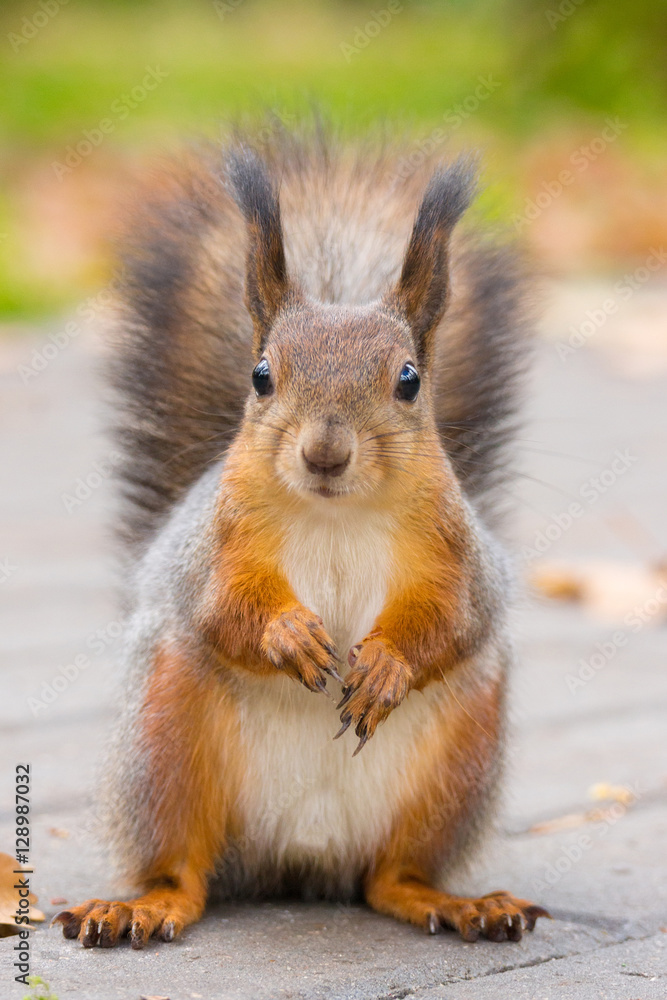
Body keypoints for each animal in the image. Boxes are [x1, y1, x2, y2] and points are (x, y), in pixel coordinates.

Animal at [54, 121, 549, 949]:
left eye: (408, 380)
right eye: (260, 375)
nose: (323, 452)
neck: (334, 513)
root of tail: (301, 856)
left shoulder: (455, 555)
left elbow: (451, 620)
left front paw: (385, 666)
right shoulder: (215, 547)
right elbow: (223, 609)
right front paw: (290, 637)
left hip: (457, 764)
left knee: (389, 878)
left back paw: (456, 902)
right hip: (165, 740)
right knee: (184, 870)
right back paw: (142, 906)